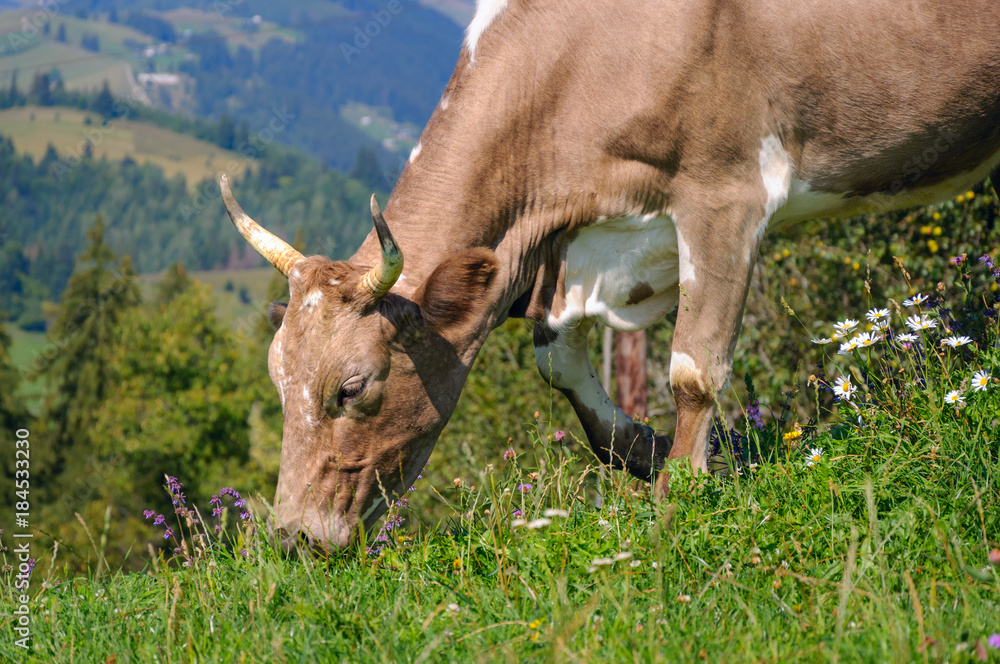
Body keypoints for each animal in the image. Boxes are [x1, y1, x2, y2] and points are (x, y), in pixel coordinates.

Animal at [221, 0, 1000, 548]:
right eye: (278, 384)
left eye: (352, 388)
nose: (291, 537)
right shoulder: (582, 249)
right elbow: (558, 363)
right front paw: (652, 452)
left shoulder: (726, 193)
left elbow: (693, 370)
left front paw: (679, 493)